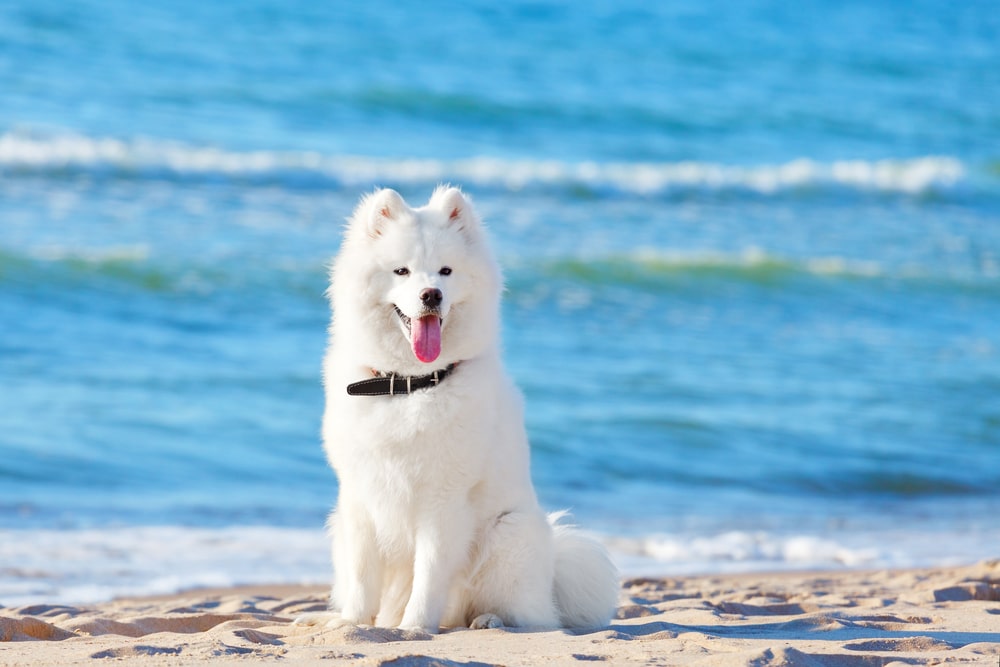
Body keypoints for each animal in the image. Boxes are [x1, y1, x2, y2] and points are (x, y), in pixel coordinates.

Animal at [304, 187, 616, 632]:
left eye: (445, 271)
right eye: (402, 271)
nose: (431, 295)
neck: (409, 385)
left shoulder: (444, 501)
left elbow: (429, 573)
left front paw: (415, 628)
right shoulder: (360, 496)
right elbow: (364, 575)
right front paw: (353, 624)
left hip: (509, 533)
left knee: (535, 617)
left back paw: (490, 620)